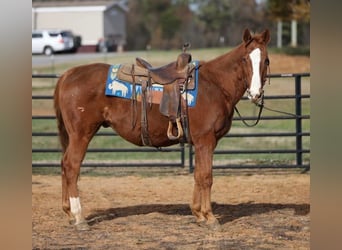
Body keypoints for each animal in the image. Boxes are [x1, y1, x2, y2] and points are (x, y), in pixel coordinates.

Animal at [54, 28, 270, 229]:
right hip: (81, 134)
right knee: (72, 166)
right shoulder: (205, 140)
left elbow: (198, 175)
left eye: (266, 60)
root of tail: (67, 75)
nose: (255, 93)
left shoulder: (202, 143)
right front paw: (210, 217)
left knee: (65, 165)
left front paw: (198, 214)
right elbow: (206, 176)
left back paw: (68, 212)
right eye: (244, 59)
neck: (215, 85)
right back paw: (79, 217)